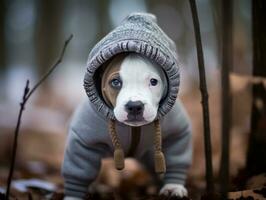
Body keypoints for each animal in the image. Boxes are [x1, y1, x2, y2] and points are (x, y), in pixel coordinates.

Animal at [62, 53, 191, 200]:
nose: (134, 106)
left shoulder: (176, 132)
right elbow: (79, 168)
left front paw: (173, 187)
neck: (133, 128)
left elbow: (176, 158)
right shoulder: (84, 141)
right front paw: (74, 196)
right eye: (115, 82)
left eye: (153, 81)